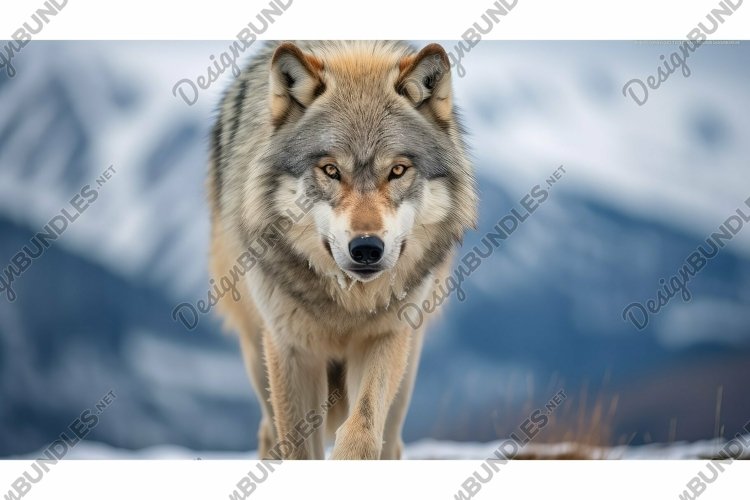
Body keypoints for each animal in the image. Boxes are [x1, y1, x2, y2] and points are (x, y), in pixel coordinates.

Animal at [208, 41, 477, 459]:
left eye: (397, 170)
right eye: (331, 170)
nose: (366, 248)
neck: (348, 303)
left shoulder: (386, 336)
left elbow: (362, 430)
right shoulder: (291, 350)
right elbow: (299, 449)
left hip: (408, 360)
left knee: (391, 440)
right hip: (257, 349)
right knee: (269, 431)